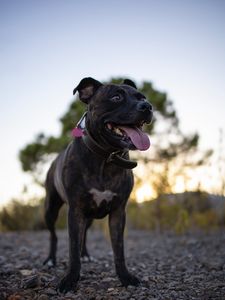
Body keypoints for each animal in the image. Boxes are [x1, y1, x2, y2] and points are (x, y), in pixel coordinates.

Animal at [43, 76, 153, 292]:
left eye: (142, 97)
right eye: (116, 97)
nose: (147, 106)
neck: (106, 157)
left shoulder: (118, 212)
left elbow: (118, 250)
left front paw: (126, 278)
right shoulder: (75, 210)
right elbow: (72, 248)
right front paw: (70, 280)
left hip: (89, 216)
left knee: (84, 234)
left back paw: (85, 255)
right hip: (51, 209)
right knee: (53, 235)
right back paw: (51, 259)